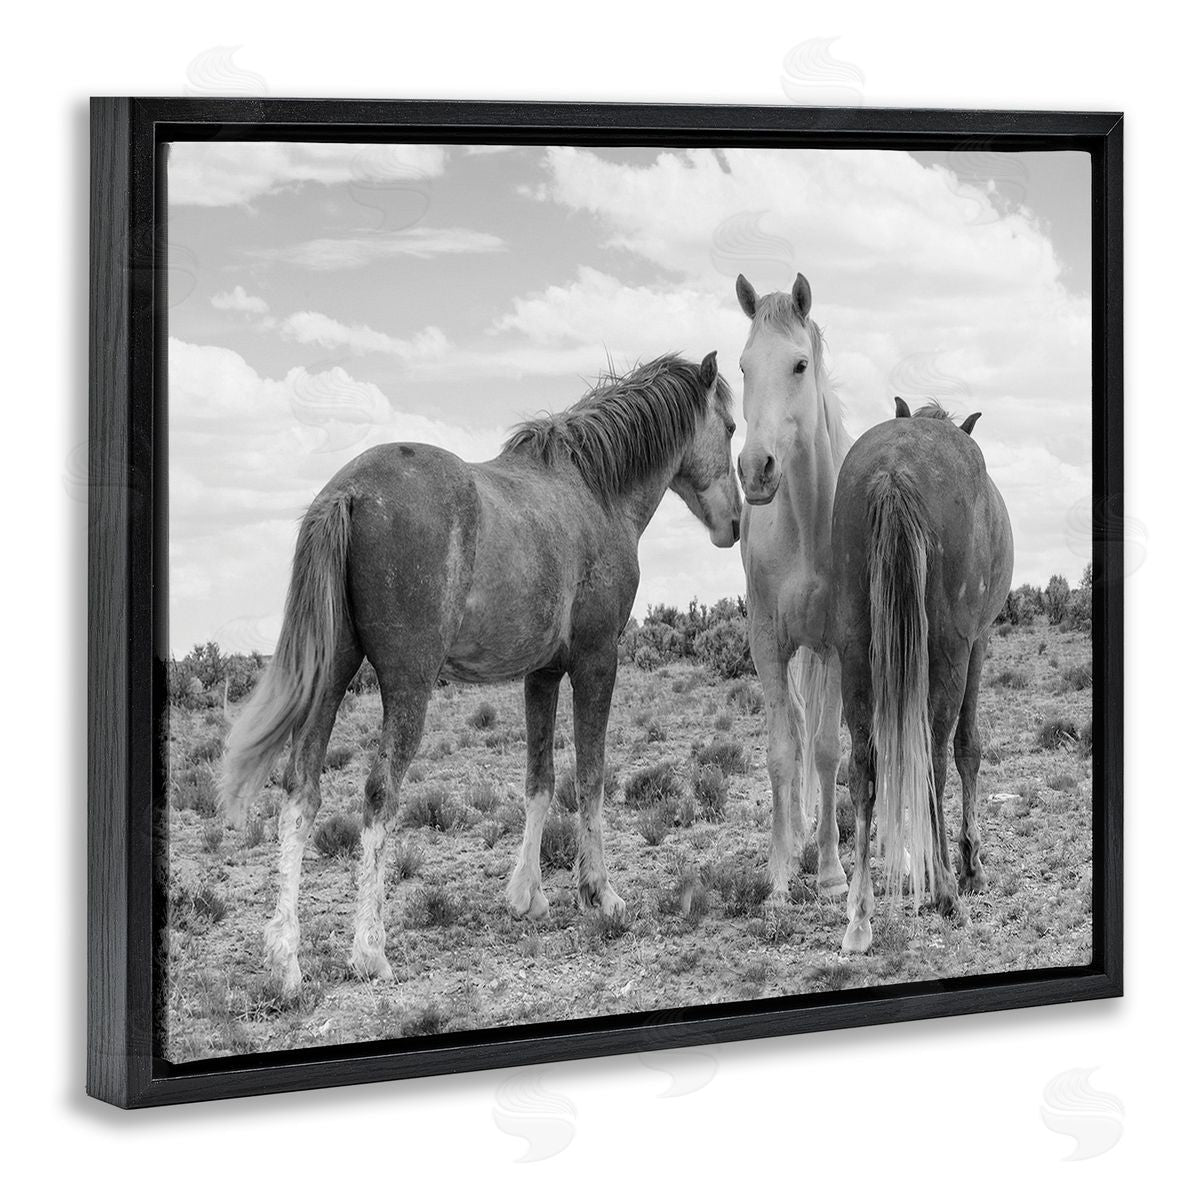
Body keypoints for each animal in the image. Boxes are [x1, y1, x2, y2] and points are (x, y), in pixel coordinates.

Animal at [221, 352, 741, 994]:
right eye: (731, 427)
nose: (734, 523)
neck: (595, 492)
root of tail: (347, 492)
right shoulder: (597, 660)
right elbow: (590, 777)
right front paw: (600, 894)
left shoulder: (542, 674)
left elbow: (540, 781)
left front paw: (526, 896)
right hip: (408, 687)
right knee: (378, 793)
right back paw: (369, 950)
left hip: (332, 676)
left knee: (302, 790)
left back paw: (287, 961)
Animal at [832, 400, 1013, 953]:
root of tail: (895, 470)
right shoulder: (977, 643)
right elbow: (968, 749)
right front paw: (972, 866)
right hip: (951, 651)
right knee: (934, 757)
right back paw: (948, 892)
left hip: (854, 648)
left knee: (864, 767)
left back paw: (860, 916)